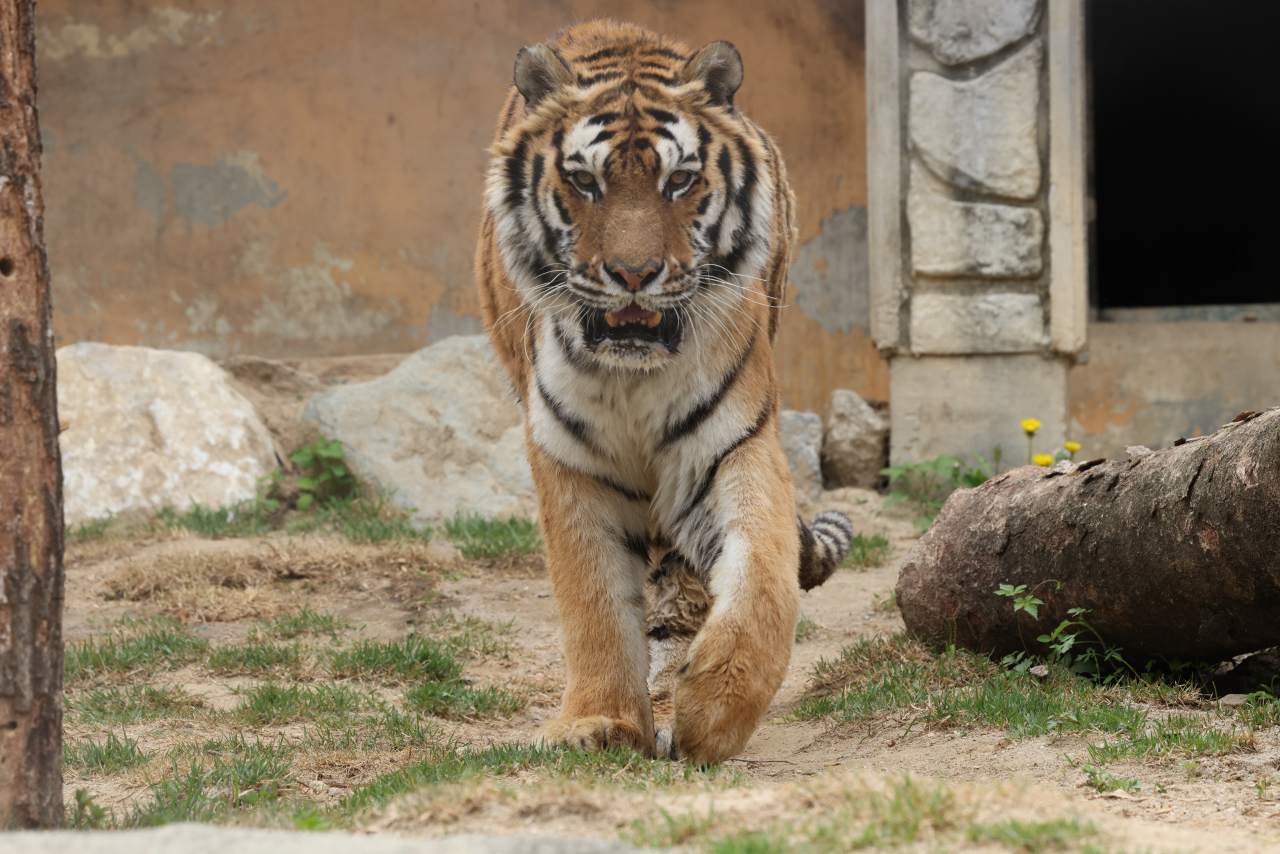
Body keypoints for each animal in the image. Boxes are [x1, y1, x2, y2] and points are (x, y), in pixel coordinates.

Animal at [476, 16, 855, 763]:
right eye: (584, 181)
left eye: (679, 180)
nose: (633, 273)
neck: (633, 376)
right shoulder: (568, 460)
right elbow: (592, 600)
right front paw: (600, 721)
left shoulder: (734, 444)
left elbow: (763, 577)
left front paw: (711, 712)